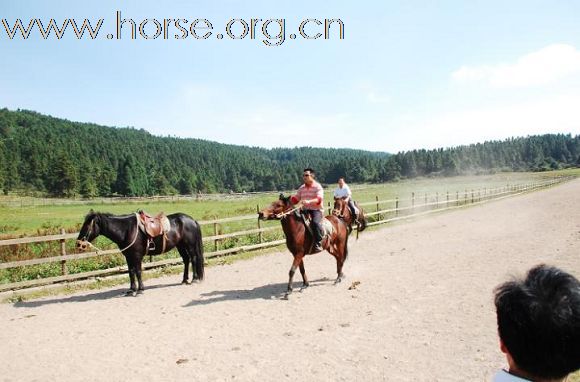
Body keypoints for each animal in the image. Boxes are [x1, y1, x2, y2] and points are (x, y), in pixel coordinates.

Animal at [76, 209, 205, 296]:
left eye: (87, 225)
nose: (78, 244)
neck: (127, 230)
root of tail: (192, 220)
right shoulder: (128, 257)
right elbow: (131, 272)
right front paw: (131, 289)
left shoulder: (137, 256)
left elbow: (138, 271)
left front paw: (140, 290)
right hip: (180, 246)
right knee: (186, 260)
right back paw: (184, 280)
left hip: (190, 245)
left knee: (193, 258)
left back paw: (194, 279)